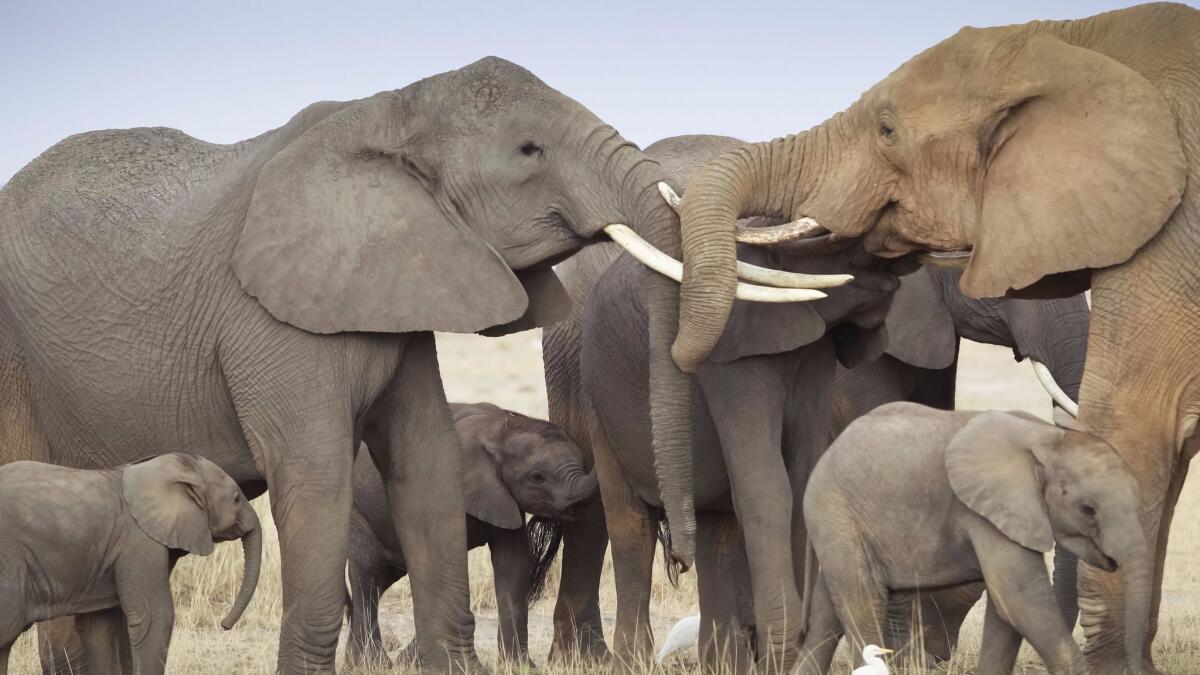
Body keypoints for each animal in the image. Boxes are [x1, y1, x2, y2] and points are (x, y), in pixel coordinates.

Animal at [348, 401, 600, 662]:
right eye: (538, 477)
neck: (502, 429)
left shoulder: (505, 499)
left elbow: (513, 564)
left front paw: (520, 665)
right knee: (368, 572)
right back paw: (373, 663)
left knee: (381, 580)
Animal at [796, 401, 1152, 667]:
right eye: (1088, 509)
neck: (1048, 438)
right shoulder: (985, 511)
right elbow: (1019, 597)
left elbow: (1005, 609)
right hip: (835, 509)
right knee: (862, 601)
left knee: (828, 615)